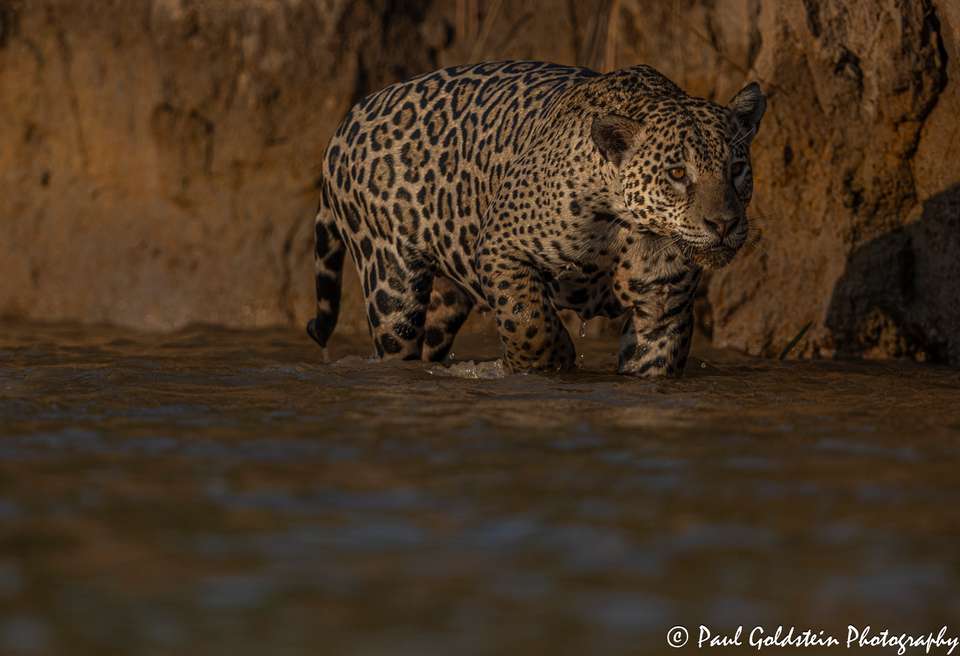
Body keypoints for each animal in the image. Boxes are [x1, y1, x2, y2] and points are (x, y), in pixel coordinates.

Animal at [307, 60, 765, 376]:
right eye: (677, 174)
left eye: (736, 169)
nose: (723, 224)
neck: (627, 225)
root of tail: (350, 118)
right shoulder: (501, 246)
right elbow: (529, 320)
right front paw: (547, 363)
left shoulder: (660, 305)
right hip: (390, 282)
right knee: (395, 344)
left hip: (446, 295)